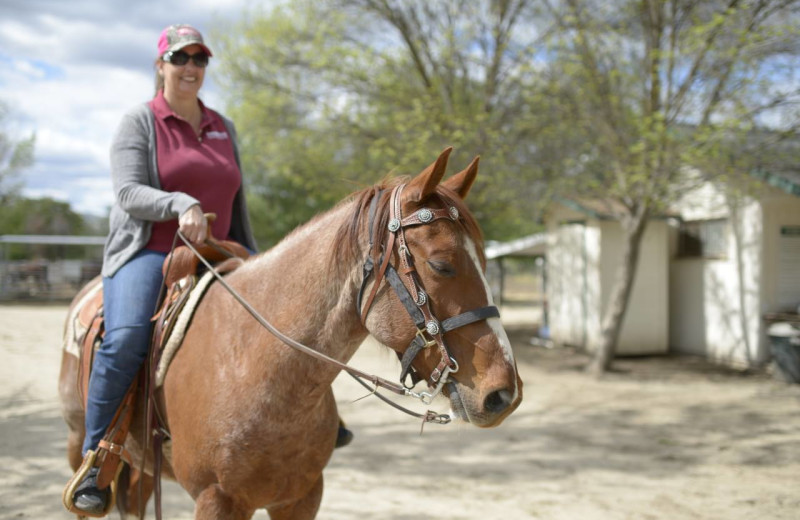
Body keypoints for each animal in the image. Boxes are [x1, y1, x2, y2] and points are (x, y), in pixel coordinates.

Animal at [61, 147, 524, 520]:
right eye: (442, 264)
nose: (504, 393)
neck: (254, 368)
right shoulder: (217, 501)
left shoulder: (301, 498)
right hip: (77, 444)